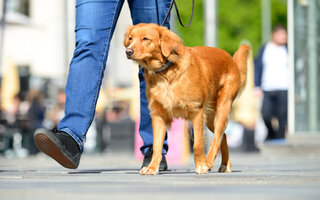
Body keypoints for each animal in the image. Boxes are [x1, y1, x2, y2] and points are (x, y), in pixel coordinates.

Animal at [124, 23, 251, 174]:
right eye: (130, 38)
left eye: (145, 39)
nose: (128, 51)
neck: (166, 72)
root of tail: (231, 60)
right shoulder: (158, 114)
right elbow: (156, 146)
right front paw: (152, 168)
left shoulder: (197, 112)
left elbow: (197, 145)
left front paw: (201, 165)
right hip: (210, 117)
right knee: (223, 136)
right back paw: (225, 165)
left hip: (222, 107)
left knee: (217, 138)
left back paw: (208, 162)